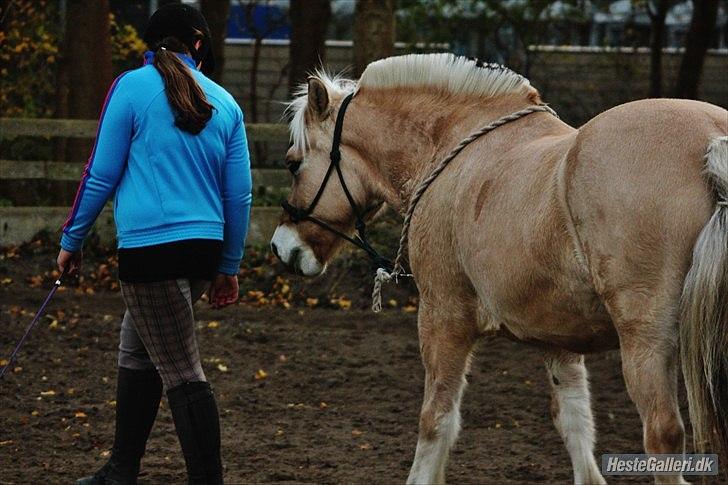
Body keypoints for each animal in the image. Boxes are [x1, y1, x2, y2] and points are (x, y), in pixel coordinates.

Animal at [272, 54, 728, 484]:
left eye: (293, 164)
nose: (281, 247)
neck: (450, 149)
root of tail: (711, 142)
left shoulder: (442, 318)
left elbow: (437, 420)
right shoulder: (557, 339)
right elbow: (575, 422)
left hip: (646, 343)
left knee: (663, 435)